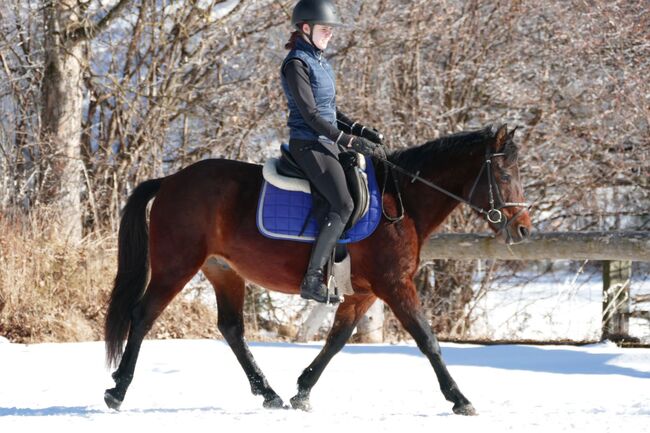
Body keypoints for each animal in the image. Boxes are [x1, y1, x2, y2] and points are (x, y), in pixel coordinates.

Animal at [103, 124, 532, 415]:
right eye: (504, 175)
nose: (523, 230)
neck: (401, 202)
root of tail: (170, 180)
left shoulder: (364, 292)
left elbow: (336, 340)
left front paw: (302, 391)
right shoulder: (395, 285)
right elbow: (428, 340)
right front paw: (460, 399)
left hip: (224, 271)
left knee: (232, 329)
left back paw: (270, 394)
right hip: (176, 266)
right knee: (142, 316)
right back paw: (117, 390)